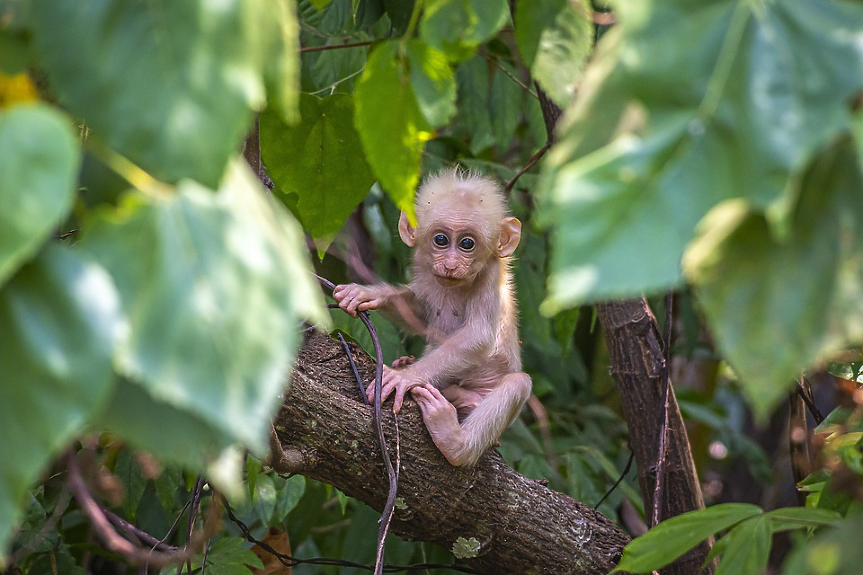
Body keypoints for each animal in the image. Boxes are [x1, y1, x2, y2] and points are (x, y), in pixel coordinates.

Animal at [336, 168, 532, 468]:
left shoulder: (491, 274)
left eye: (467, 244)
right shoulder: (425, 269)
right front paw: (368, 293)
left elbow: (479, 335)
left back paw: (454, 442)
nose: (450, 265)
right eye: (441, 240)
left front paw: (405, 377)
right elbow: (419, 313)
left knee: (518, 383)